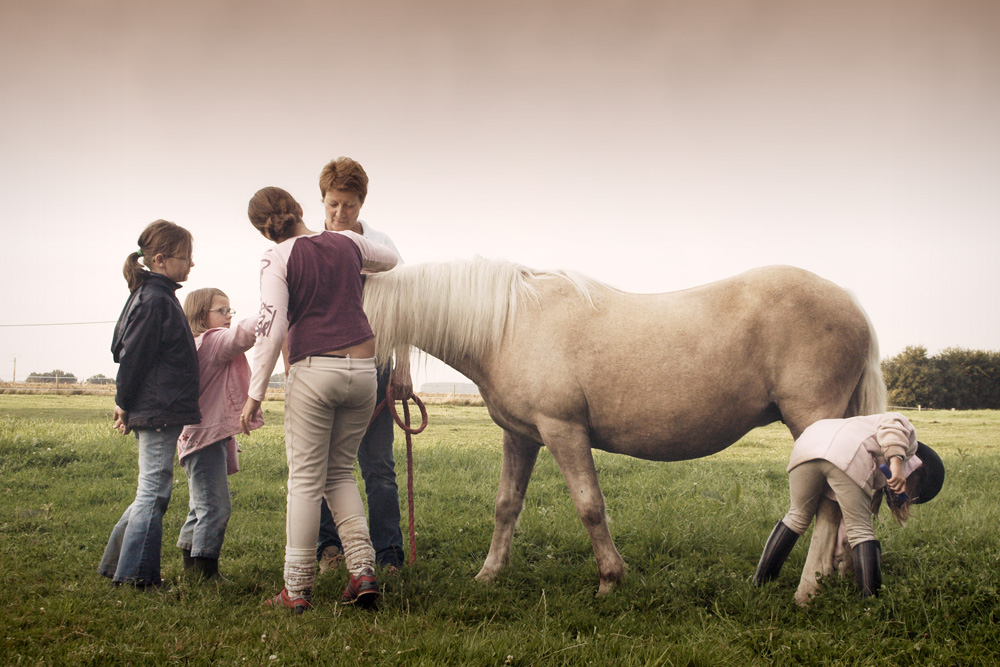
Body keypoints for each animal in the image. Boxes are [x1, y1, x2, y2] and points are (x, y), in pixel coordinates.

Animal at [364, 260, 888, 600]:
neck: (511, 325)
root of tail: (851, 304)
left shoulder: (562, 430)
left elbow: (590, 507)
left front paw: (610, 579)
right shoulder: (522, 436)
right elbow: (506, 505)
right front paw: (490, 574)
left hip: (813, 422)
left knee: (828, 503)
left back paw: (807, 589)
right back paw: (836, 574)